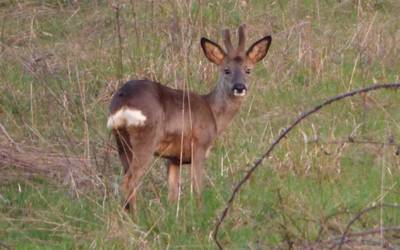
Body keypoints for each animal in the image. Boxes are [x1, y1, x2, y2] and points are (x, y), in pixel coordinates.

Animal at [106, 24, 272, 211]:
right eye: (226, 70)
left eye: (248, 69)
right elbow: (198, 188)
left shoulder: (173, 158)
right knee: (129, 181)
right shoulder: (199, 146)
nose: (239, 87)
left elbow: (173, 194)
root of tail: (122, 99)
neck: (213, 113)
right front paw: (200, 212)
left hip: (121, 142)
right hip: (146, 137)